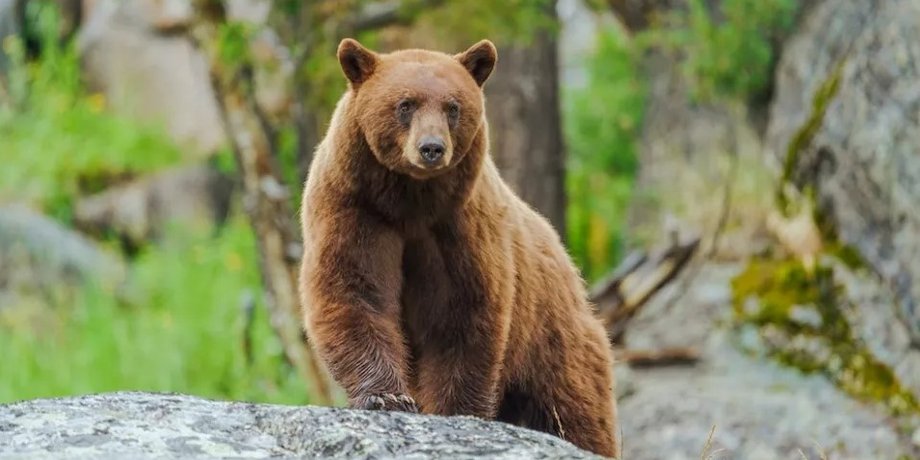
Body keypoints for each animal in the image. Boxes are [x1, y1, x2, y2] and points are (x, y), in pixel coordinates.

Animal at [298, 37, 619, 458]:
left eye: (452, 107)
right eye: (405, 104)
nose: (431, 148)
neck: (410, 201)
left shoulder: (460, 228)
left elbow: (461, 313)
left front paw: (454, 409)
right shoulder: (355, 210)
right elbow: (353, 291)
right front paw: (387, 397)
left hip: (554, 343)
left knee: (573, 412)